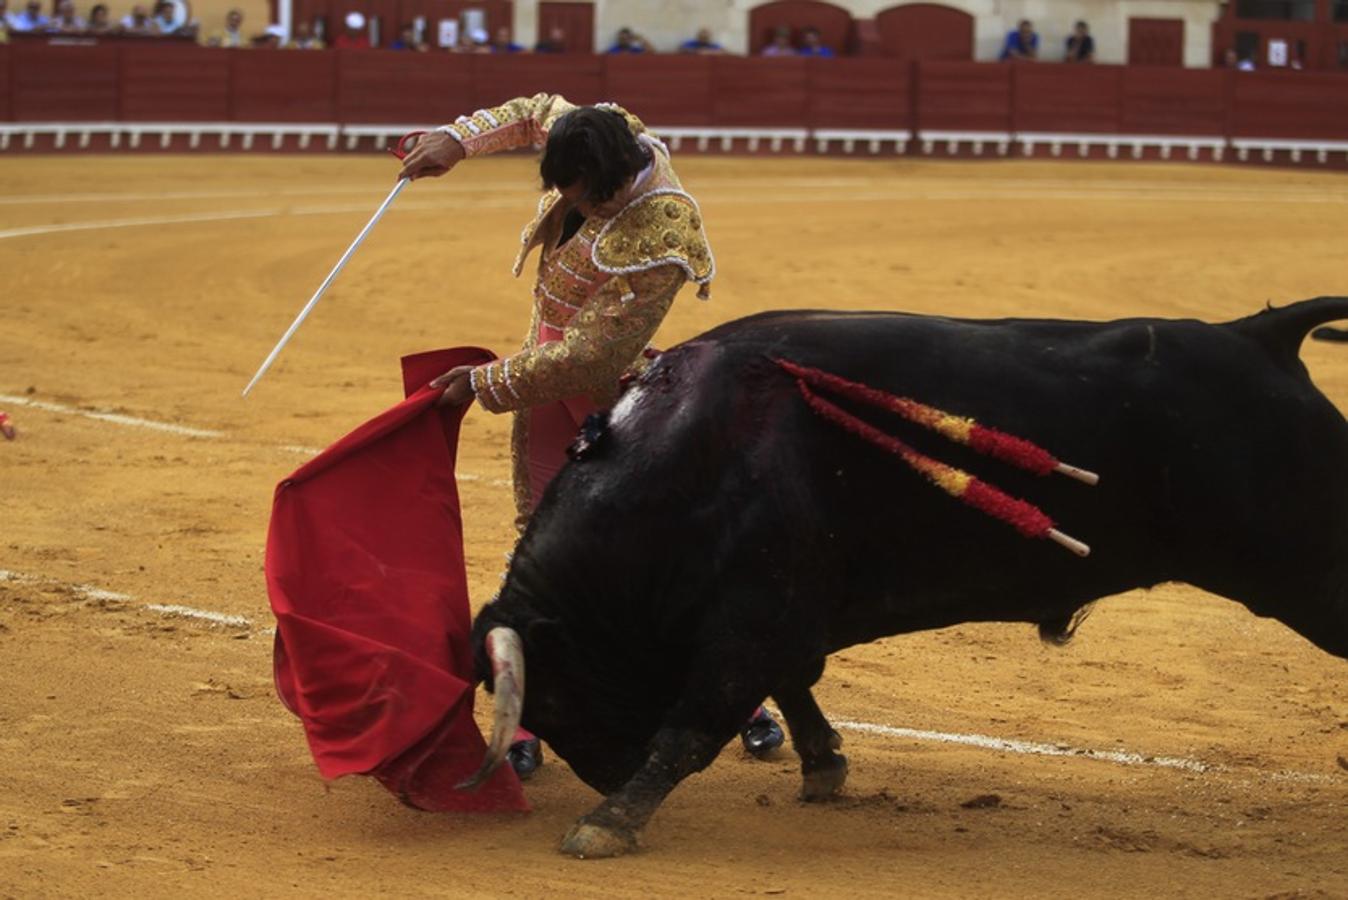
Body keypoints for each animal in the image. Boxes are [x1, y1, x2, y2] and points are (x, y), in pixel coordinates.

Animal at [466, 296, 1348, 856]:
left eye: (553, 697)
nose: (605, 772)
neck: (679, 461)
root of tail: (1261, 333)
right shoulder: (785, 616)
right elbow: (792, 689)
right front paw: (824, 767)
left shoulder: (753, 619)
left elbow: (694, 723)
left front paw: (608, 822)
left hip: (1313, 568)